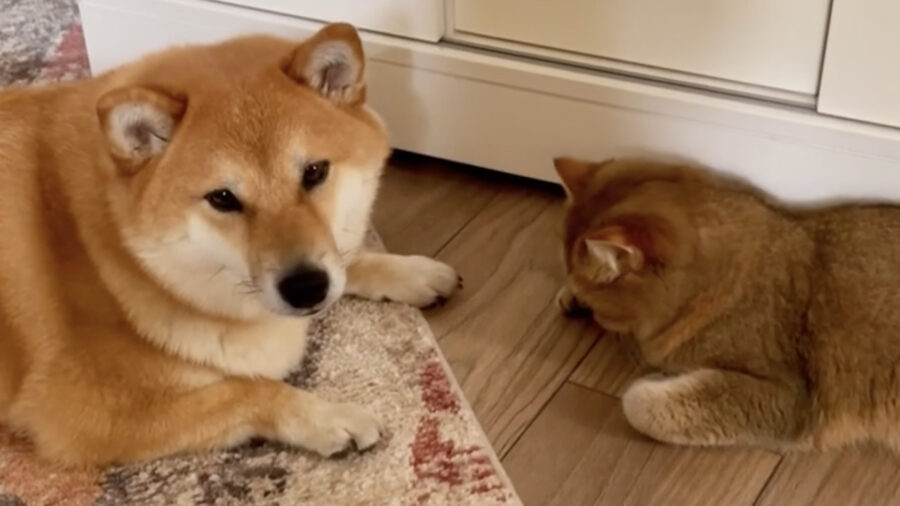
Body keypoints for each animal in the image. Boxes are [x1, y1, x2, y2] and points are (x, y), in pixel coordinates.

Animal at [0, 23, 460, 466]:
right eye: (222, 198)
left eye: (314, 172)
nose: (306, 287)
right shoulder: (86, 412)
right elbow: (248, 390)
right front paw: (330, 418)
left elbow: (351, 262)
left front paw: (411, 271)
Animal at [552, 157, 900, 450]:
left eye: (602, 310)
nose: (588, 307)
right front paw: (570, 295)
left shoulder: (787, 398)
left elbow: (636, 402)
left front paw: (657, 379)